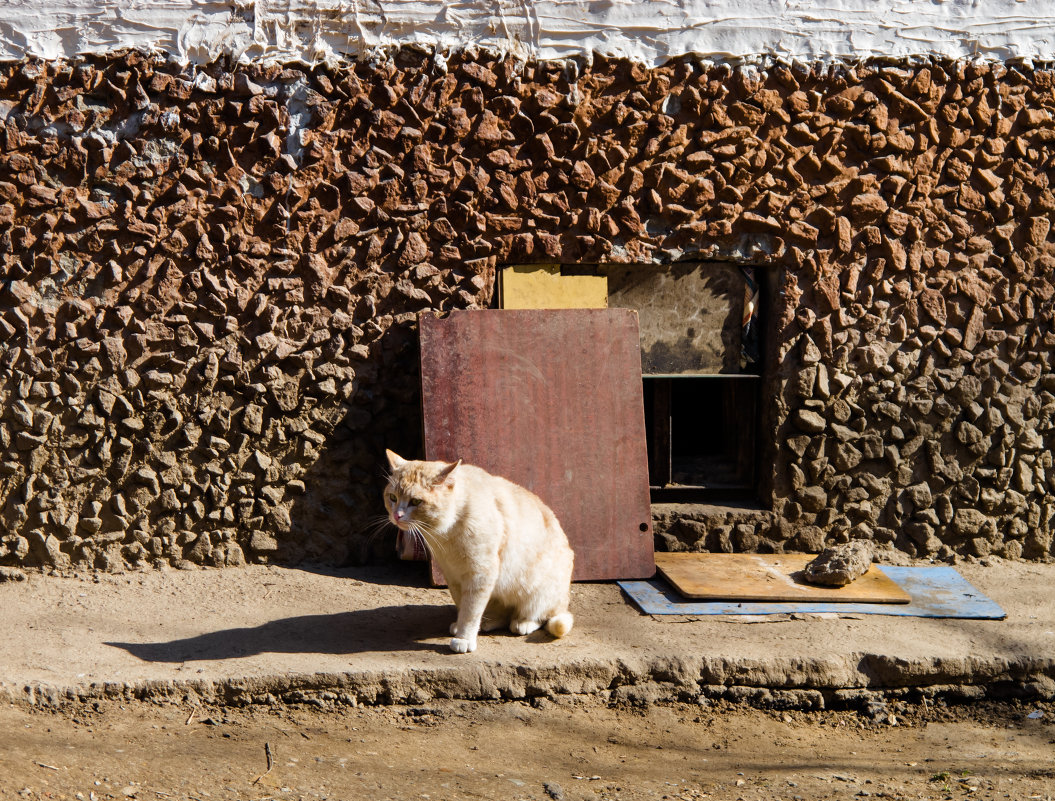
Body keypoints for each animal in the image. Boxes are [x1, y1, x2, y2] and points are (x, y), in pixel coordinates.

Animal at [384, 447, 573, 654]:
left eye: (416, 501)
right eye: (392, 498)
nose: (397, 515)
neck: (446, 532)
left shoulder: (480, 573)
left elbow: (471, 610)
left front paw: (464, 638)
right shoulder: (453, 575)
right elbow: (463, 605)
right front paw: (462, 628)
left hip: (538, 592)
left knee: (539, 615)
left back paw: (523, 622)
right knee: (501, 615)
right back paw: (489, 622)